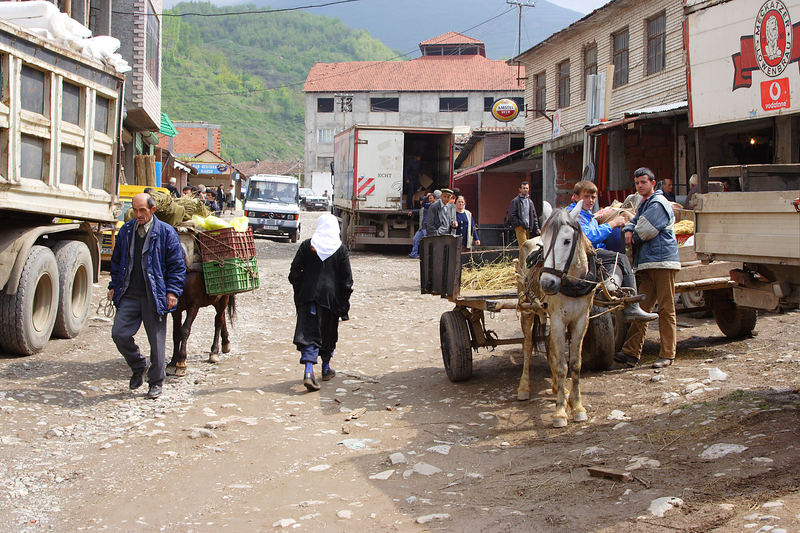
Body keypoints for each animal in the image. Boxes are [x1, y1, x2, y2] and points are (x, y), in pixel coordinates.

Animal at [516, 208, 596, 428]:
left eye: (567, 241)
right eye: (544, 241)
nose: (547, 283)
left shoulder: (581, 319)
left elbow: (575, 363)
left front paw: (577, 406)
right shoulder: (559, 320)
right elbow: (562, 365)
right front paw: (560, 411)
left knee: (550, 345)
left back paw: (556, 387)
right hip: (527, 310)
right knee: (527, 347)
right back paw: (524, 387)